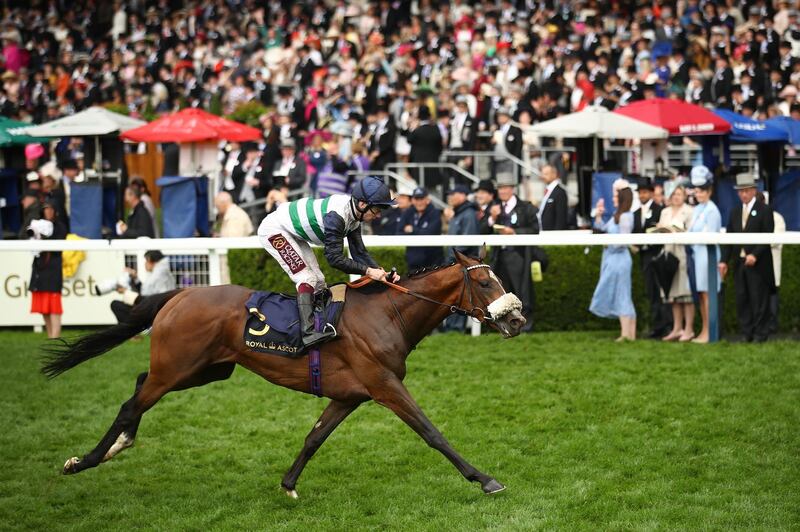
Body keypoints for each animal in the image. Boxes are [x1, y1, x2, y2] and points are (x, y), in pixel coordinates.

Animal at [45, 251, 532, 496]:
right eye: (484, 282)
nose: (516, 321)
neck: (387, 313)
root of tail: (179, 295)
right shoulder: (384, 385)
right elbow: (432, 433)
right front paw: (484, 479)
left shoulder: (350, 394)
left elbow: (314, 437)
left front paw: (289, 484)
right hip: (178, 368)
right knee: (132, 402)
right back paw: (84, 461)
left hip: (206, 370)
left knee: (138, 387)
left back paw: (116, 446)